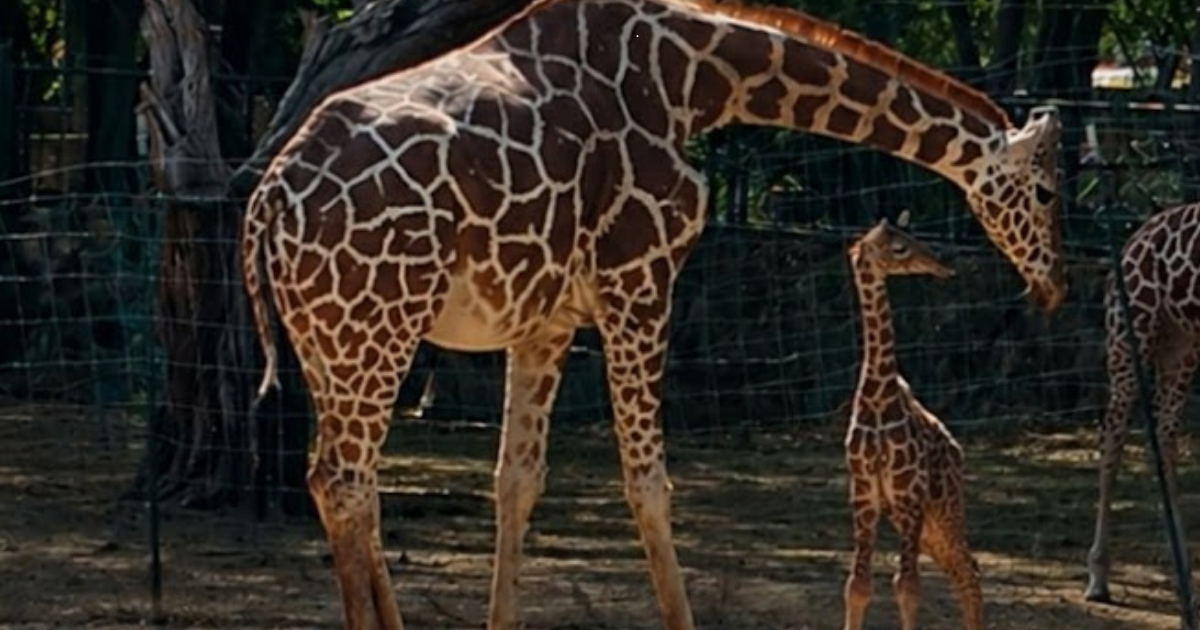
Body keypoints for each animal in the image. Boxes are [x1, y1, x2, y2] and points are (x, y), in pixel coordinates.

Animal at [842, 212, 983, 630]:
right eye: (899, 247)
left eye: (912, 238)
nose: (942, 263)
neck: (877, 399)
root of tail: (957, 452)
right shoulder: (865, 497)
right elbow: (858, 585)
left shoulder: (908, 498)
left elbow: (907, 586)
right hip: (928, 526)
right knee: (963, 569)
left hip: (942, 510)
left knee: (969, 570)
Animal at [1085, 201, 1200, 604]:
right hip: (1129, 335)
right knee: (1112, 436)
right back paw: (1098, 577)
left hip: (1181, 343)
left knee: (1165, 437)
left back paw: (1186, 578)